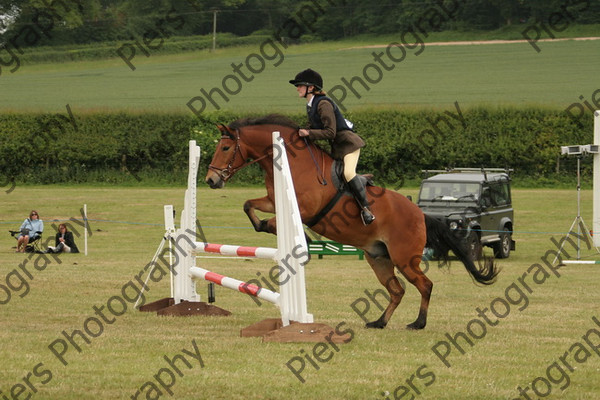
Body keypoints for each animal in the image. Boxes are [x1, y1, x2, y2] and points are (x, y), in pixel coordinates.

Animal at [204, 114, 500, 330]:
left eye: (226, 148)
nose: (211, 180)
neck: (293, 162)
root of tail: (419, 213)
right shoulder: (271, 200)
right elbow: (249, 205)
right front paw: (262, 225)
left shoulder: (306, 209)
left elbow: (279, 222)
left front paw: (304, 240)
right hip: (379, 258)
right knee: (397, 290)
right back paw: (379, 322)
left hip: (404, 258)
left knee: (424, 285)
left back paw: (418, 323)